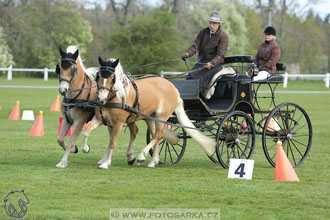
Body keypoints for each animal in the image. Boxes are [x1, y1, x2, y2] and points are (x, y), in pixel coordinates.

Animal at [81, 56, 217, 168]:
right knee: (155, 135)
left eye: (112, 78)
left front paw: (105, 163)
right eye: (98, 76)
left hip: (161, 117)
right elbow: (86, 132)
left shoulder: (118, 123)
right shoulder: (100, 119)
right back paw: (153, 161)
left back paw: (142, 156)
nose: (101, 98)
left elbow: (112, 142)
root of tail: (173, 88)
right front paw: (86, 148)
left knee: (158, 135)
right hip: (150, 118)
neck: (116, 96)